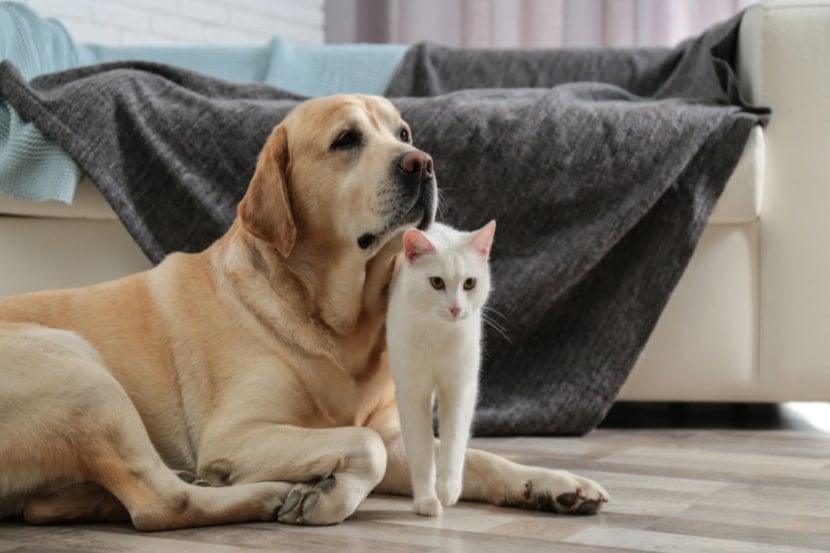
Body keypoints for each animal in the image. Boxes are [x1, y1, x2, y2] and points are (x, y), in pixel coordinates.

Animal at [388, 220, 498, 516]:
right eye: (436, 282)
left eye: (469, 283)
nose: (456, 308)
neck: (438, 333)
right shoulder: (412, 392)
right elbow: (421, 449)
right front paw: (426, 499)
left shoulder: (460, 388)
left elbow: (454, 440)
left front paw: (448, 489)